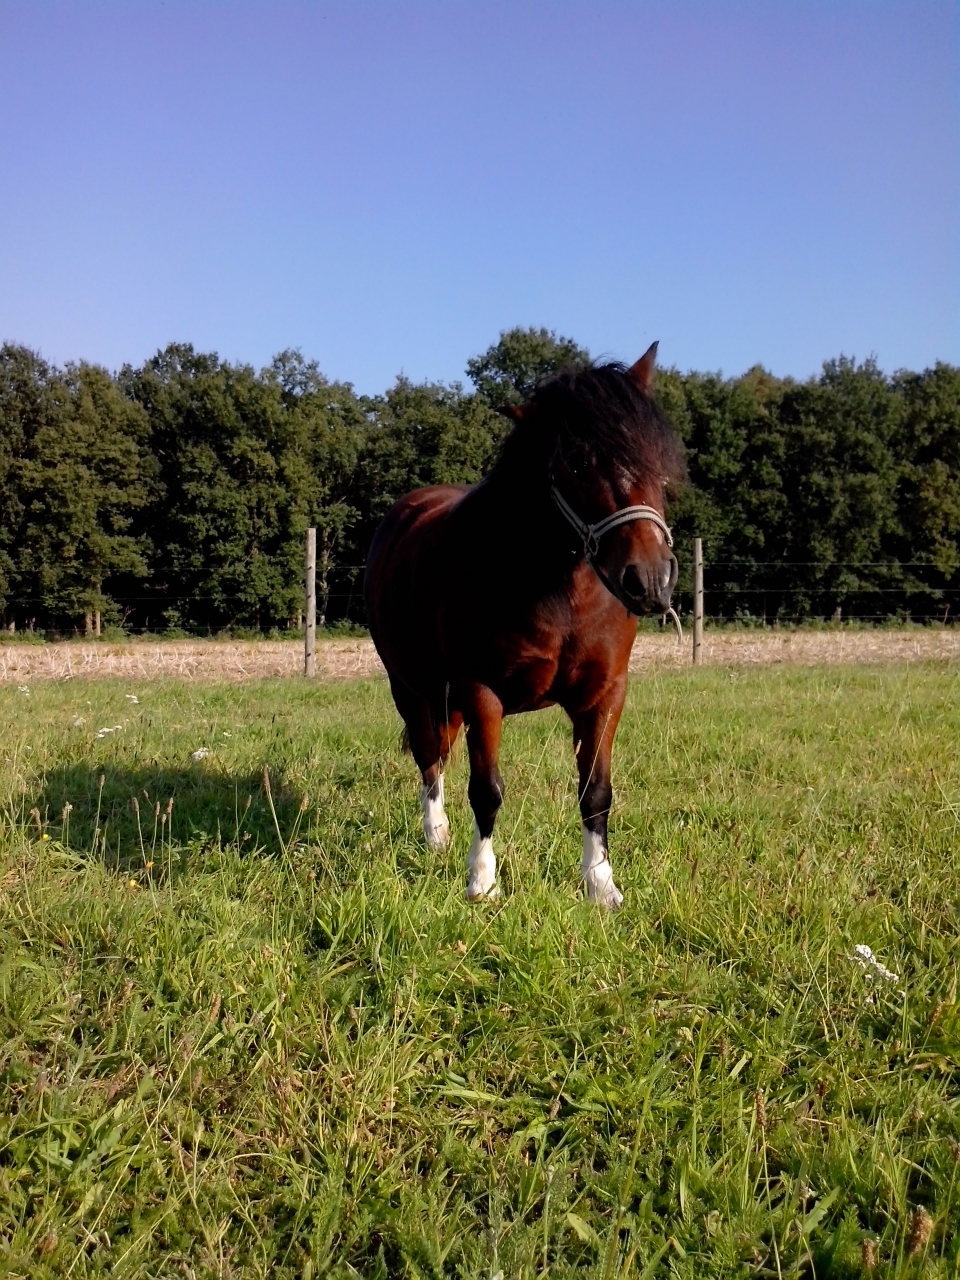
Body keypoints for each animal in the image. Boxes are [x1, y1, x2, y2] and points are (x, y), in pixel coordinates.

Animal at [363, 343, 685, 907]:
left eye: (657, 457)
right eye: (577, 462)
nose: (649, 579)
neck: (559, 595)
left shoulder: (605, 695)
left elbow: (595, 792)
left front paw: (601, 884)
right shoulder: (480, 692)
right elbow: (486, 790)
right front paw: (481, 882)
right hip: (410, 686)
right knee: (429, 757)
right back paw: (435, 836)